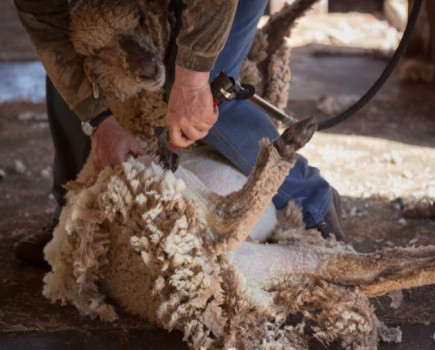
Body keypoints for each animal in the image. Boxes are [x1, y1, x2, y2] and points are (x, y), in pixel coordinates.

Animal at [42, 1, 435, 348]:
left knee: (364, 267)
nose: (151, 70)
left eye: (139, 20)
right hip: (158, 187)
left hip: (261, 261)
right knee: (228, 219)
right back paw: (286, 145)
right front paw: (285, 24)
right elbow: (265, 62)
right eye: (98, 53)